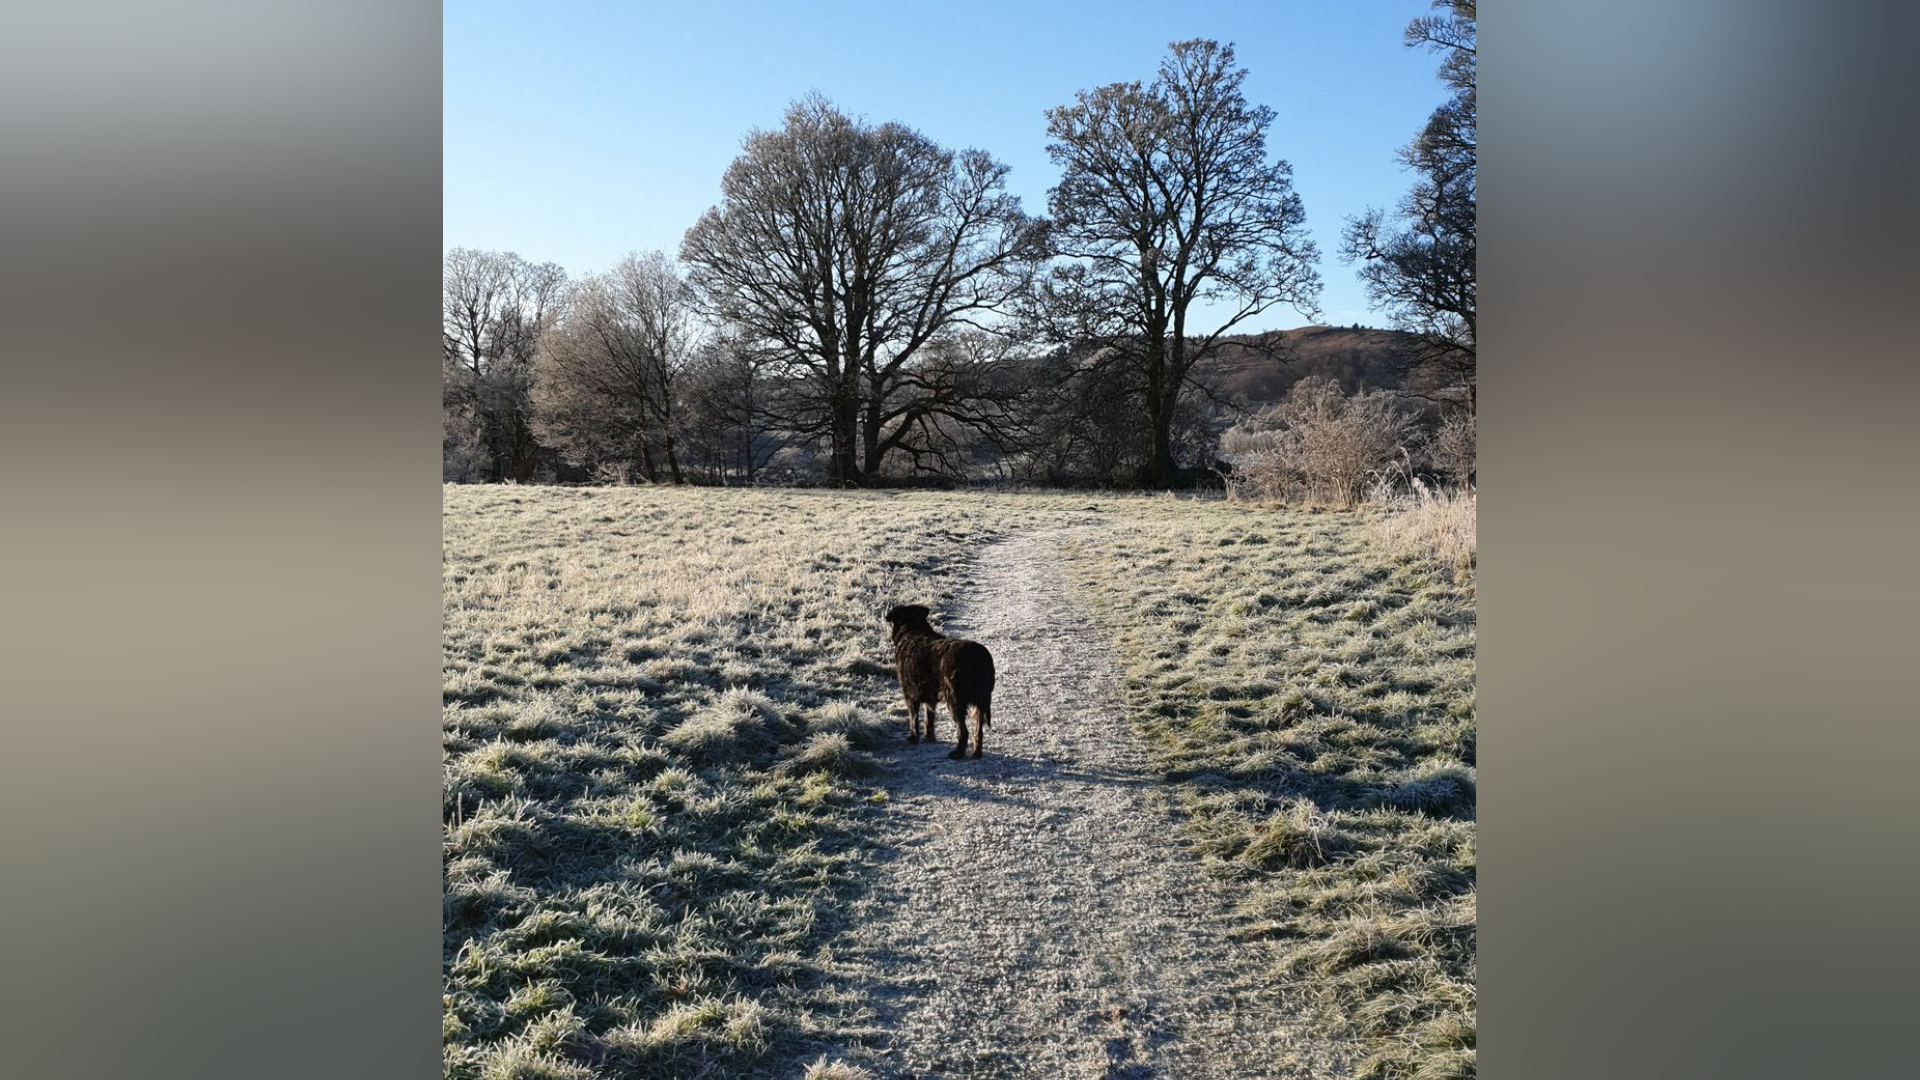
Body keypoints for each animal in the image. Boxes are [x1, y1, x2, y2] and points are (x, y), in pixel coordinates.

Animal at [887, 599, 998, 760]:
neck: (913, 631)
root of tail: (977, 655)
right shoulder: (929, 696)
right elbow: (929, 716)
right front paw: (929, 737)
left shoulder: (910, 694)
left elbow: (914, 718)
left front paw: (913, 738)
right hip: (979, 701)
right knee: (978, 729)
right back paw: (976, 753)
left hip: (954, 699)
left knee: (964, 731)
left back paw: (957, 753)